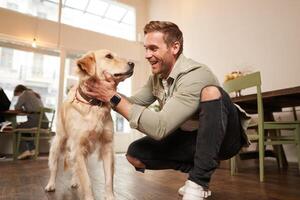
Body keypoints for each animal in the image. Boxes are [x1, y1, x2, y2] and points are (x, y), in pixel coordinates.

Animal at [44, 48, 134, 200]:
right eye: (109, 56)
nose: (132, 63)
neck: (93, 104)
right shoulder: (78, 147)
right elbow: (87, 181)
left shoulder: (106, 146)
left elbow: (108, 179)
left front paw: (110, 196)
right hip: (59, 142)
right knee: (55, 166)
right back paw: (50, 184)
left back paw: (74, 181)